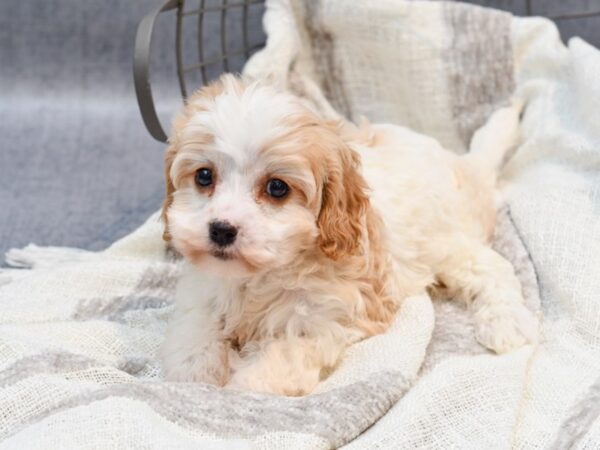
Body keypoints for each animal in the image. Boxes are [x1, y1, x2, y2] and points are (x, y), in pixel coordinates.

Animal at [159, 74, 540, 394]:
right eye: (204, 176)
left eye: (277, 188)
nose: (221, 229)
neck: (257, 278)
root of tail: (462, 162)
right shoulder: (203, 289)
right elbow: (196, 329)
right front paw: (197, 373)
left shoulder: (324, 318)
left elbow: (277, 361)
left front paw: (240, 389)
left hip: (449, 244)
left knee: (494, 268)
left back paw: (506, 323)